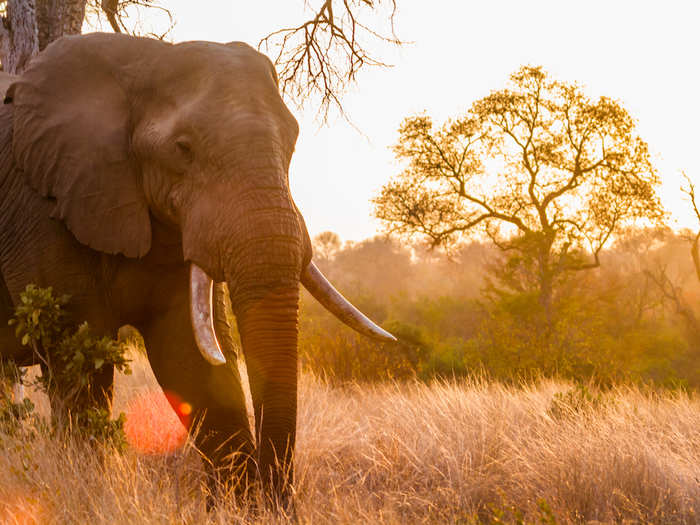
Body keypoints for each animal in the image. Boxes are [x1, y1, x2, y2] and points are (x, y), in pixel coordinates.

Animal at [0, 32, 394, 500]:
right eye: (183, 148)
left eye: (294, 141)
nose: (280, 502)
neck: (141, 59)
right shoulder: (40, 207)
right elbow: (79, 359)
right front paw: (87, 492)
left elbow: (189, 356)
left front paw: (241, 506)